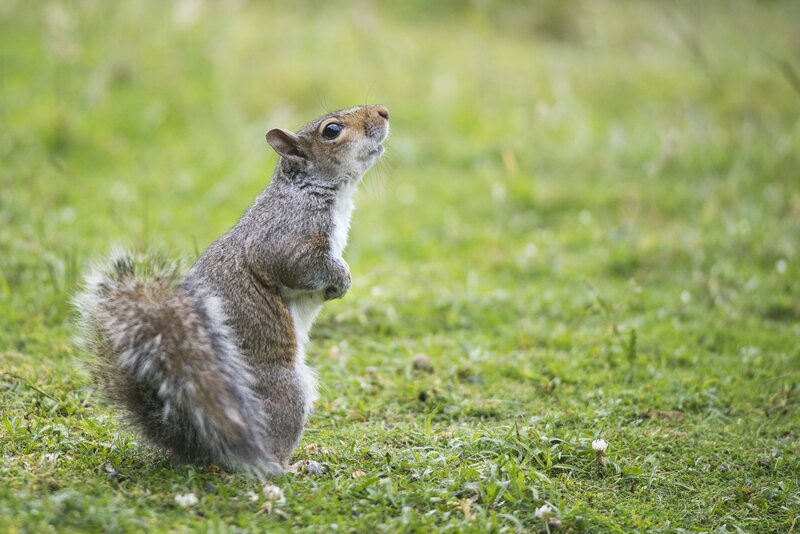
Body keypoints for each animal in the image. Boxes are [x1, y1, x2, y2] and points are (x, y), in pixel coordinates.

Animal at [74, 105, 390, 475]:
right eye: (332, 130)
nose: (383, 111)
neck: (314, 190)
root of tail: (202, 442)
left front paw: (338, 288)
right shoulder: (285, 237)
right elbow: (298, 267)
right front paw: (341, 279)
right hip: (285, 390)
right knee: (268, 454)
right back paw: (292, 467)